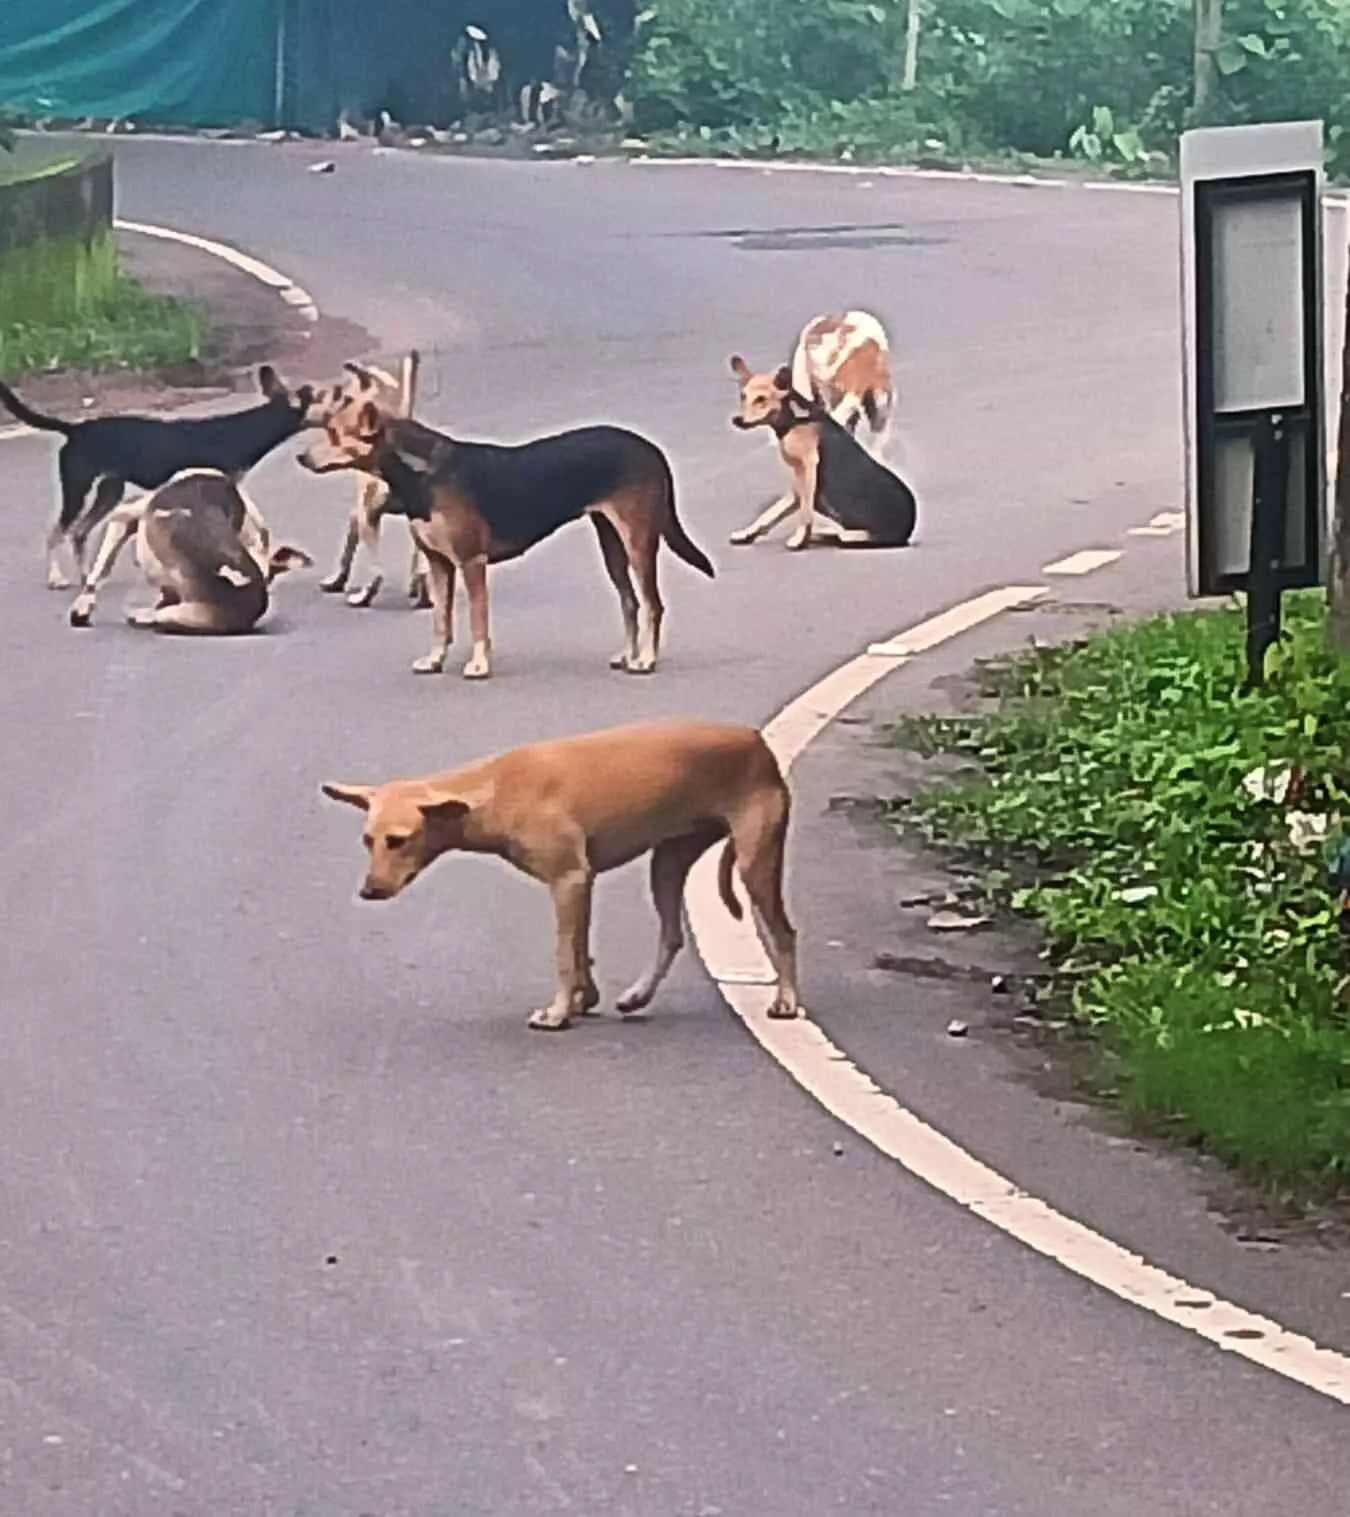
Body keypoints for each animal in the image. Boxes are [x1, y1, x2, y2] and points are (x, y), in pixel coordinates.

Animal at [320, 719, 794, 1031]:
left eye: (398, 841)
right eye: (367, 840)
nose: (368, 890)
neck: (495, 789)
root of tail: (756, 743)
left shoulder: (569, 880)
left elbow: (565, 954)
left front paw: (558, 1012)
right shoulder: (580, 885)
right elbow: (580, 951)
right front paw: (585, 999)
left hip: (755, 861)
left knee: (785, 932)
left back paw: (786, 1001)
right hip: (667, 862)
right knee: (672, 935)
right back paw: (639, 995)